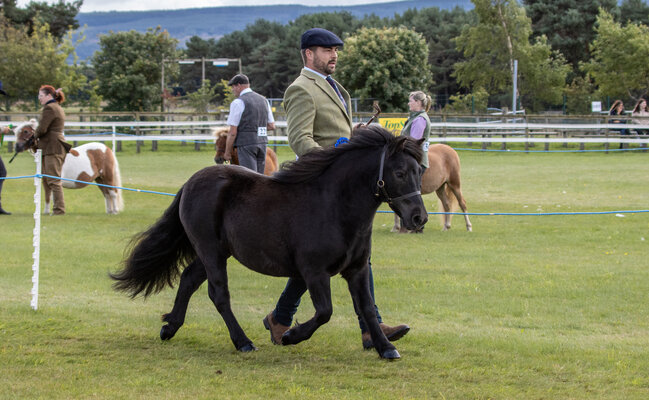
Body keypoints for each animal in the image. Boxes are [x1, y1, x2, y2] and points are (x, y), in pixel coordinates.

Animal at [110, 125, 426, 360]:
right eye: (399, 173)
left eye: (420, 171)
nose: (419, 217)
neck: (334, 205)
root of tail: (191, 182)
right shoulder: (314, 272)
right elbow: (325, 311)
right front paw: (290, 336)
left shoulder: (357, 270)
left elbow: (368, 308)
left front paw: (386, 347)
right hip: (211, 252)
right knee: (219, 294)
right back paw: (243, 342)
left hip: (215, 252)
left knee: (188, 279)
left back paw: (170, 328)